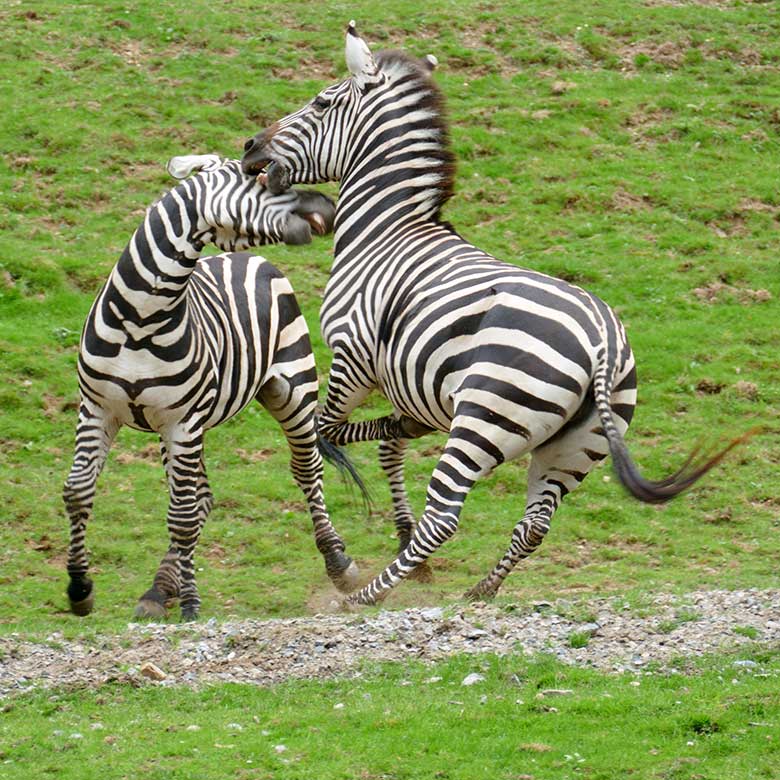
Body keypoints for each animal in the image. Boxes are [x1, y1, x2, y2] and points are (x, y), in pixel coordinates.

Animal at [62, 154, 362, 620]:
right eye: (264, 178)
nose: (329, 209)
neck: (141, 319)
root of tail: (245, 259)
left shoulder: (182, 421)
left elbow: (182, 517)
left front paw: (190, 606)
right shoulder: (97, 409)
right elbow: (79, 492)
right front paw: (79, 589)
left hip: (291, 389)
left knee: (305, 469)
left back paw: (338, 562)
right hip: (178, 428)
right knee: (199, 497)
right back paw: (157, 589)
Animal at [241, 19, 748, 608]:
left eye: (322, 101)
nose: (249, 146)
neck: (387, 231)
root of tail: (602, 342)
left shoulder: (354, 356)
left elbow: (329, 430)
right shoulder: (402, 378)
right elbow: (389, 446)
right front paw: (404, 512)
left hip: (485, 418)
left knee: (445, 516)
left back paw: (364, 596)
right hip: (577, 446)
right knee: (534, 526)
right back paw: (479, 591)